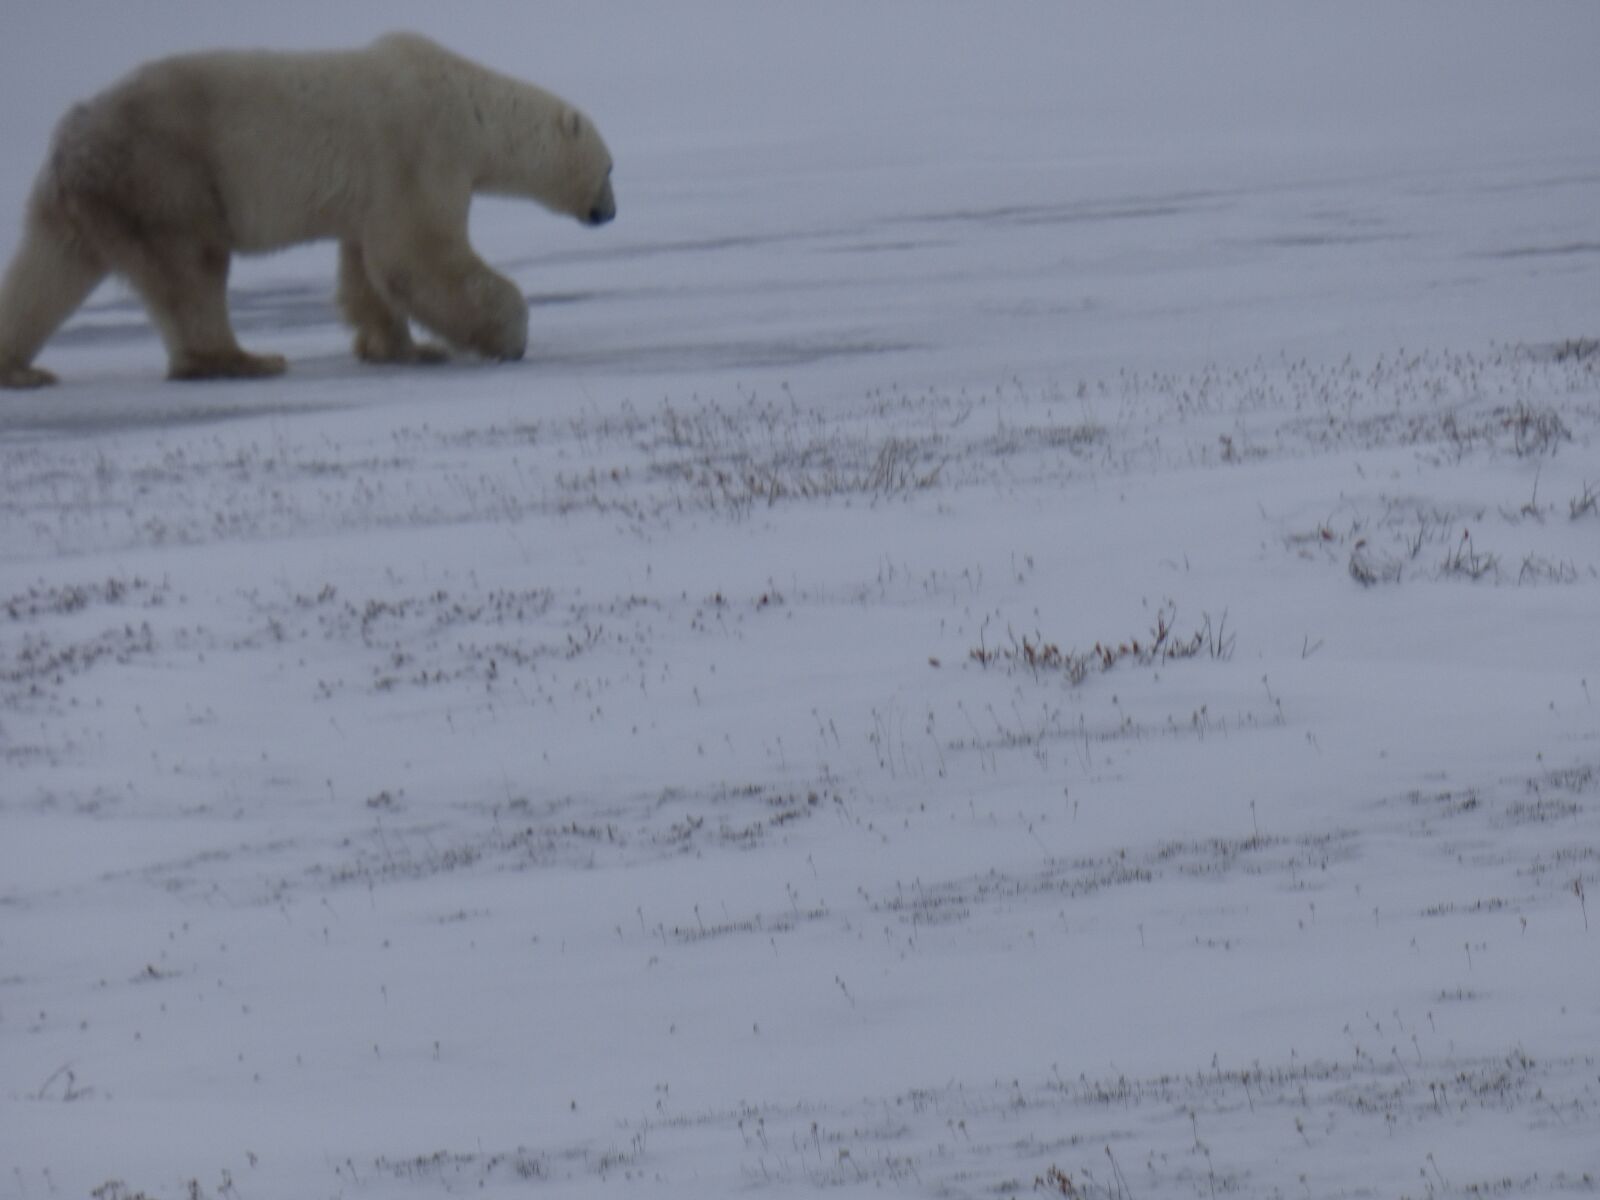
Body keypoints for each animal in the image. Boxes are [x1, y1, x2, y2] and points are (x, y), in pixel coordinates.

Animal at [0, 34, 611, 390]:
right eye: (609, 168)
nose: (609, 212)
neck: (470, 105)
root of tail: (68, 140)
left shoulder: (376, 187)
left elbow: (368, 268)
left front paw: (406, 349)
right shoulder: (421, 148)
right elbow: (420, 256)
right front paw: (510, 337)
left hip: (88, 197)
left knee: (49, 269)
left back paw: (20, 368)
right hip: (165, 174)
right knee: (191, 265)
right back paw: (241, 359)